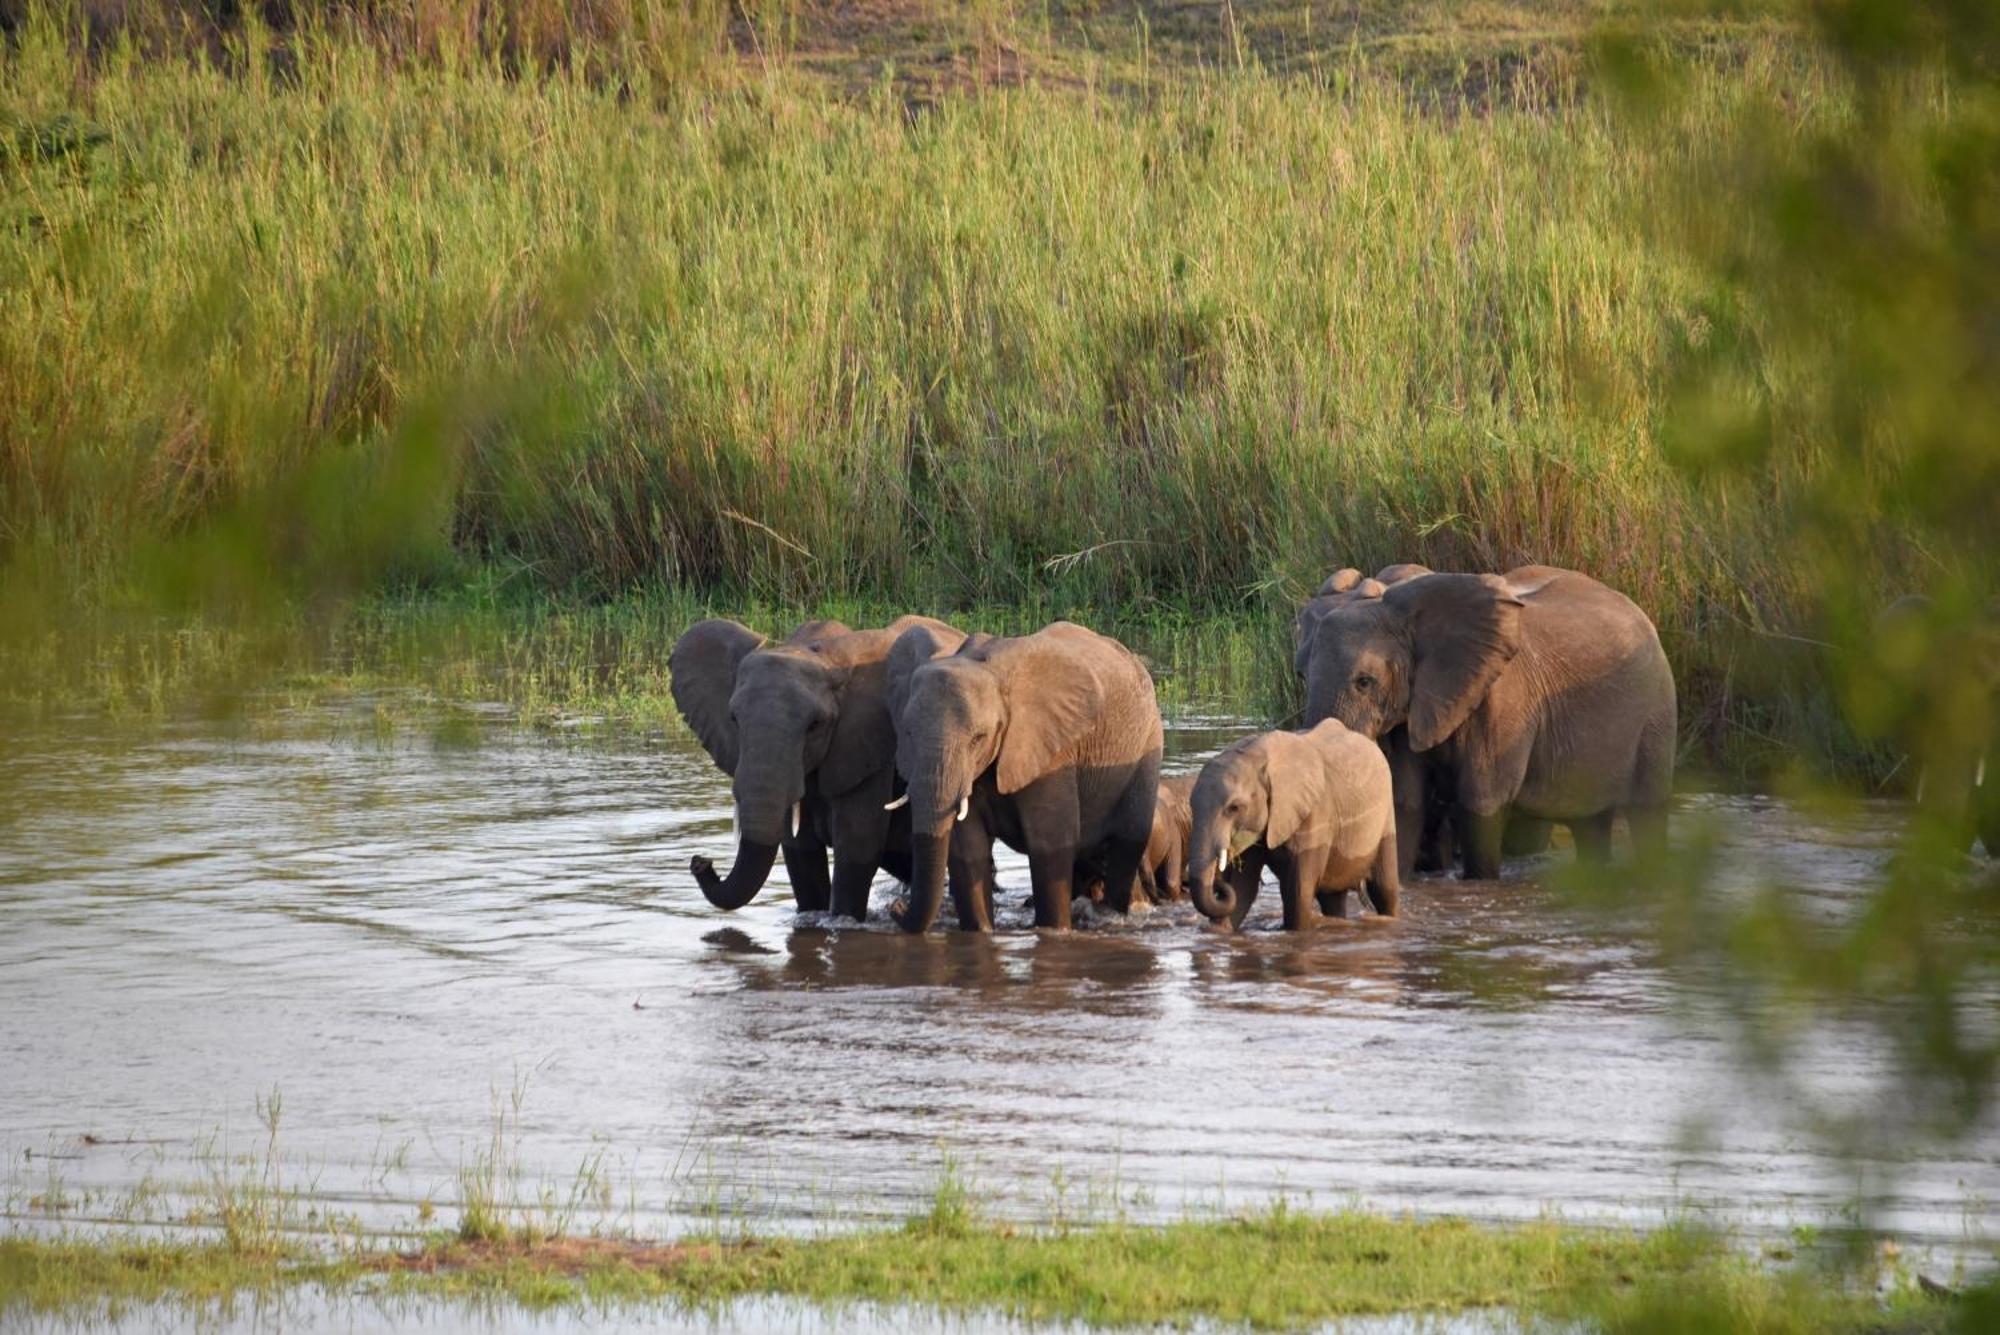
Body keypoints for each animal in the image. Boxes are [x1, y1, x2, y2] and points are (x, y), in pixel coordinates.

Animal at [672, 615, 968, 919]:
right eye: (734, 719)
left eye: (814, 725)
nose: (700, 862)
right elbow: (800, 852)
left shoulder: (871, 748)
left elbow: (857, 844)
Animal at [888, 619, 1168, 935]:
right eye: (908, 733)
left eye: (978, 739)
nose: (895, 907)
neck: (991, 671)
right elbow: (968, 848)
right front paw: (981, 932)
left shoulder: (1052, 753)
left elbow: (1050, 841)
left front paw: (1054, 931)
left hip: (1146, 746)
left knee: (1127, 844)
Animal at [1176, 719, 1400, 927]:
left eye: (1234, 808)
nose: (1219, 885)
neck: (1255, 756)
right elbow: (1242, 889)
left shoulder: (1314, 813)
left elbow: (1298, 894)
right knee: (1332, 898)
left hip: (1386, 816)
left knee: (1384, 889)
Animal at [1296, 559, 1672, 875]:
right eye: (1300, 675)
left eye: (1364, 682)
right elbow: (1405, 801)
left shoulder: (1505, 702)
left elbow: (1481, 803)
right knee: (1590, 824)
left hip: (1656, 713)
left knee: (1646, 813)